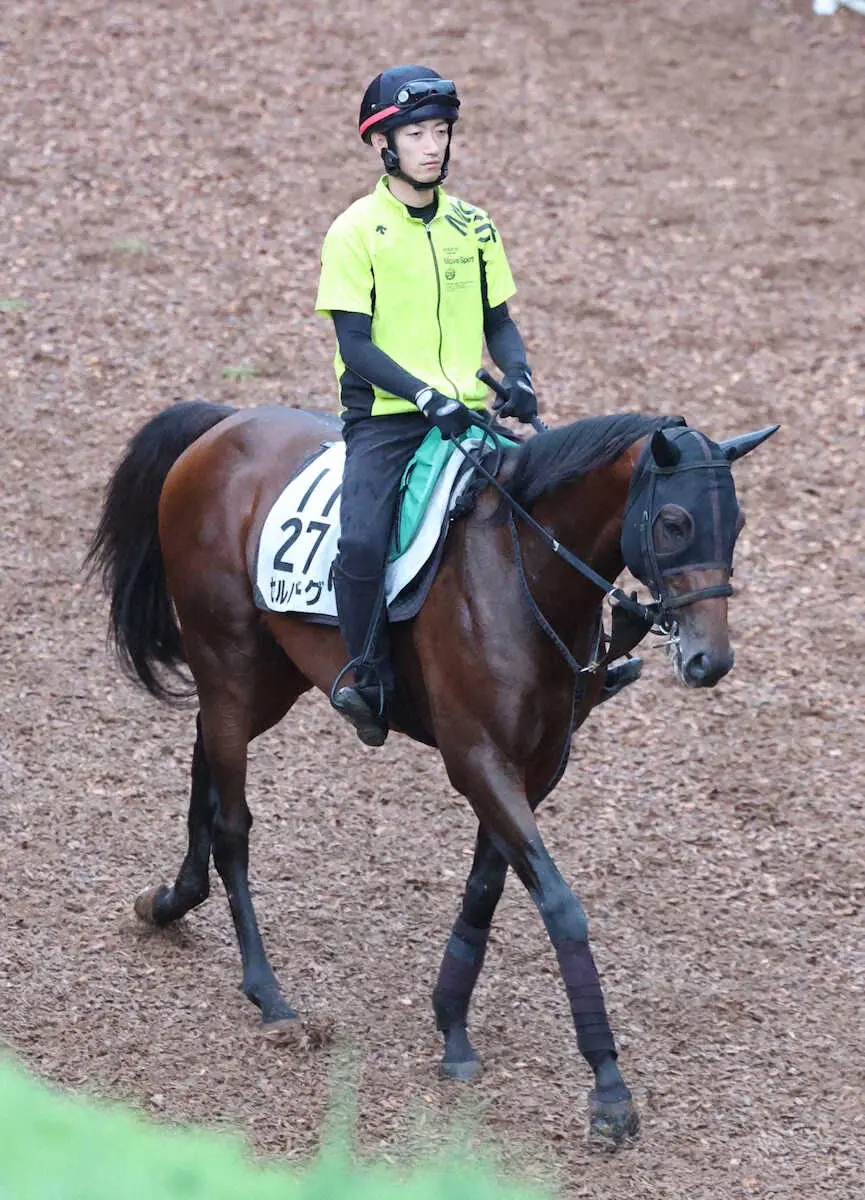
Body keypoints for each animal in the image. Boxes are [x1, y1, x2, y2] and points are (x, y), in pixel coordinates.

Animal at [85, 403, 777, 1142]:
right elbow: (559, 904)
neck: (522, 573)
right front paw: (608, 1088)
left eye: (735, 525)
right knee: (233, 826)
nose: (710, 661)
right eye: (674, 523)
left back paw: (171, 901)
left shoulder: (536, 766)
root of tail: (225, 424)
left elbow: (485, 890)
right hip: (230, 663)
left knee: (204, 757)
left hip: (265, 678)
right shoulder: (477, 759)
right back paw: (268, 994)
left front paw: (452, 1025)